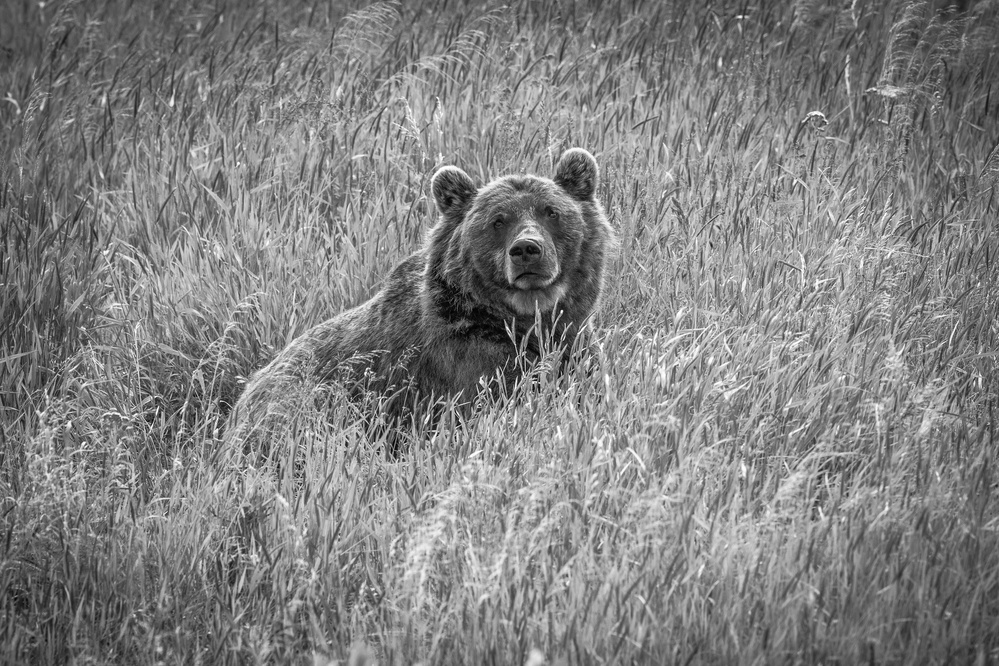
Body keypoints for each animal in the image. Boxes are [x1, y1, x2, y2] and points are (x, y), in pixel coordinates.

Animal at [228, 148, 616, 454]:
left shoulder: (576, 343)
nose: (526, 249)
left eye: (551, 211)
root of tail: (240, 401)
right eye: (497, 221)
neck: (524, 319)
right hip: (303, 398)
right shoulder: (468, 361)